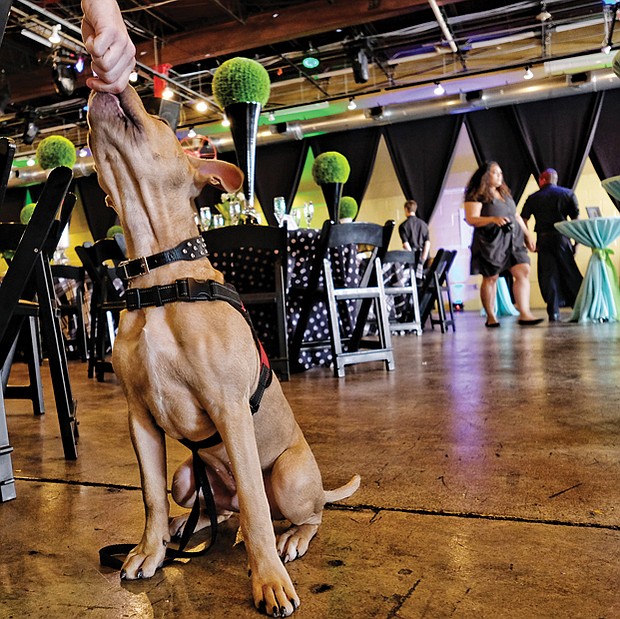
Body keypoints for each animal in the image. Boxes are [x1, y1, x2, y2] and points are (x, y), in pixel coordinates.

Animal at [85, 86, 360, 616]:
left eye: (163, 123)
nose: (107, 87)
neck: (160, 279)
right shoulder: (139, 418)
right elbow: (150, 494)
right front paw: (150, 550)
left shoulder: (229, 409)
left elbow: (255, 507)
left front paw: (268, 580)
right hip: (188, 478)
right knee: (219, 511)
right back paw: (181, 529)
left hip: (290, 478)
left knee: (295, 512)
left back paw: (291, 539)